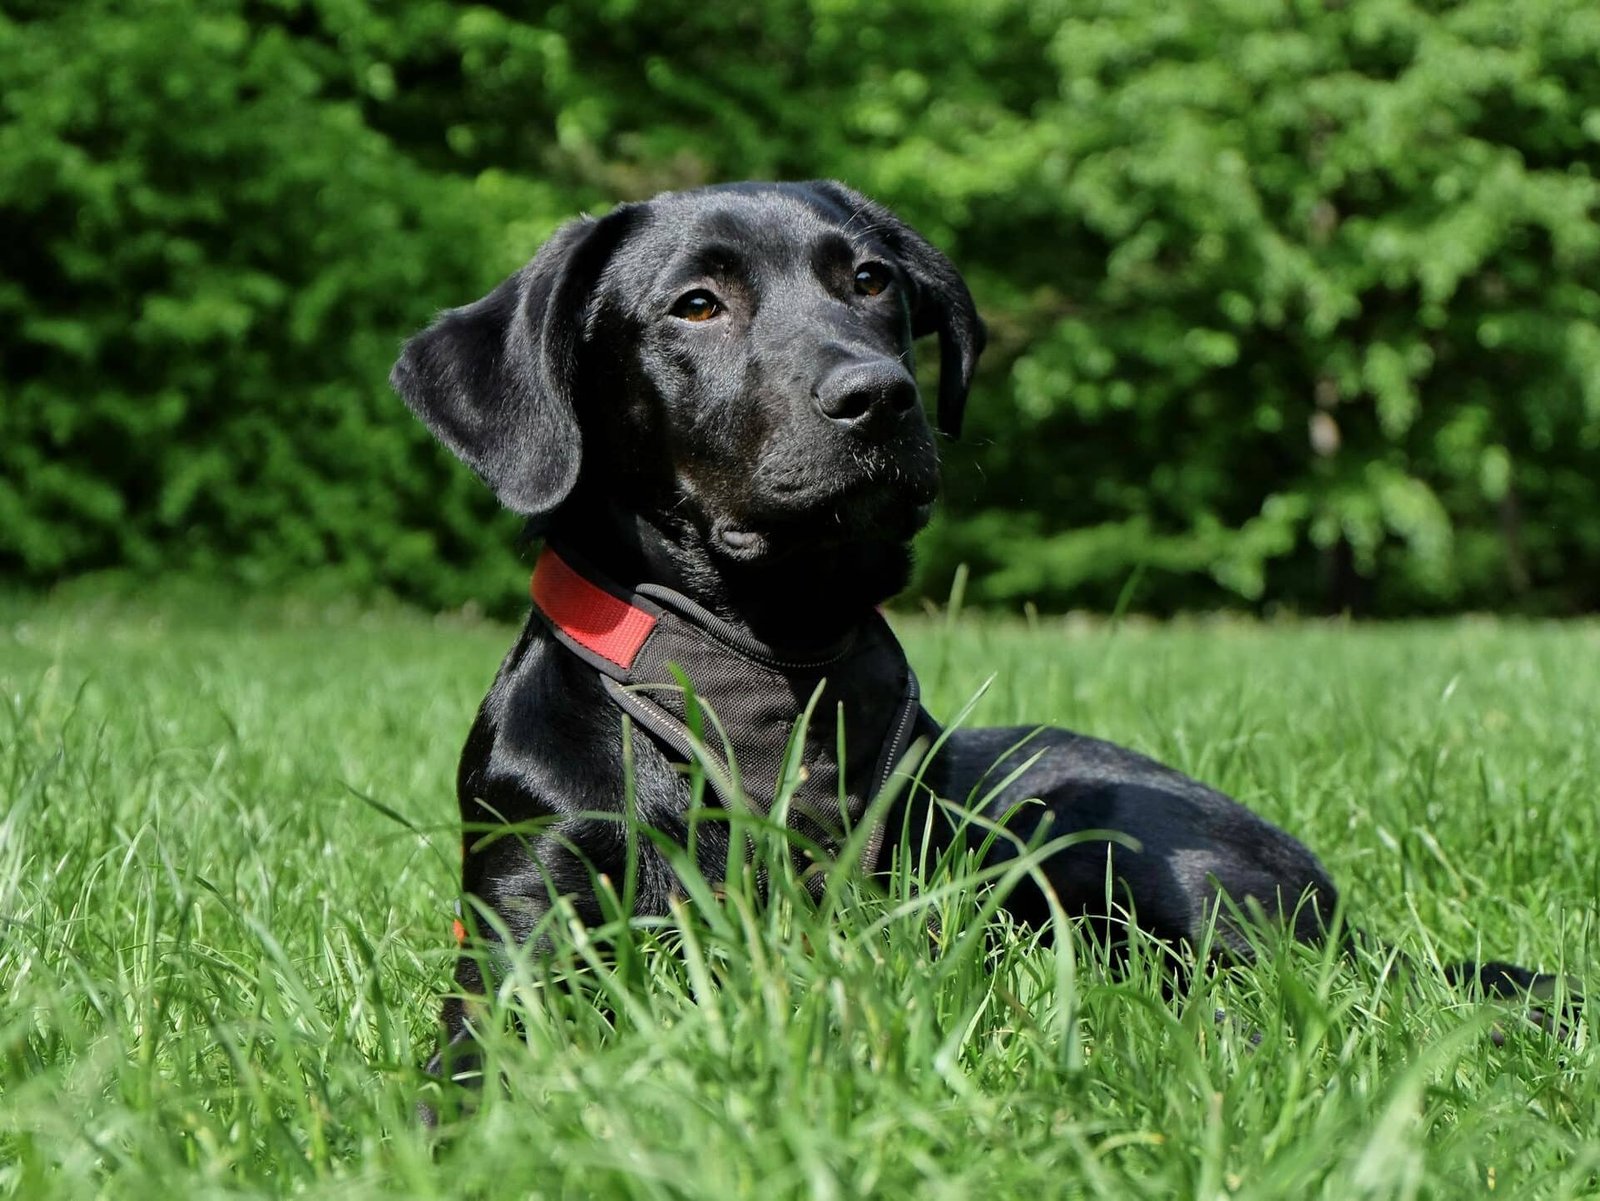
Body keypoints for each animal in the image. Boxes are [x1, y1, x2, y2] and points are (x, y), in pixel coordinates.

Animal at [393, 180, 1568, 1100]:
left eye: (871, 282)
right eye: (696, 304)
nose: (878, 396)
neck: (760, 670)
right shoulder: (525, 918)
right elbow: (482, 1055)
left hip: (1107, 839)